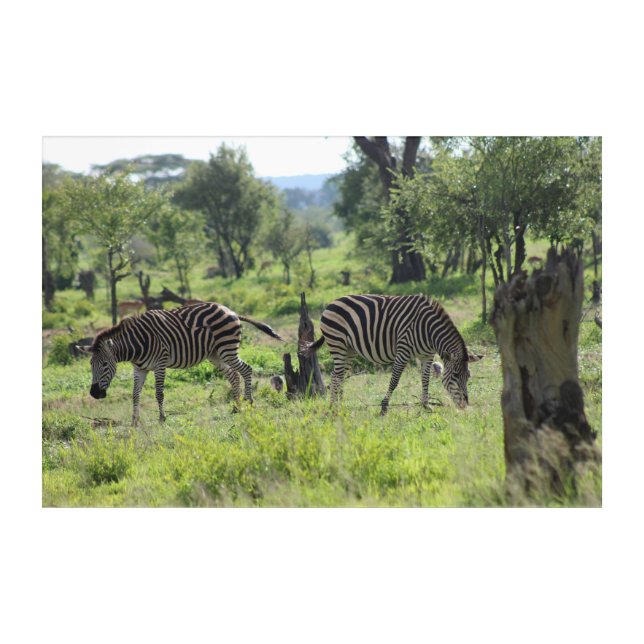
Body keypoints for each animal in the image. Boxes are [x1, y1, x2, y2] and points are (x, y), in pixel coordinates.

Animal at [76, 302, 283, 424]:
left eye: (104, 365)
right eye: (91, 366)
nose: (94, 394)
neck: (136, 345)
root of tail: (231, 311)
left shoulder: (160, 364)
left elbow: (159, 393)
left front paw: (162, 417)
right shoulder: (139, 369)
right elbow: (135, 394)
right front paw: (134, 421)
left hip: (227, 348)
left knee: (246, 370)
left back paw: (249, 403)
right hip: (215, 354)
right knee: (233, 375)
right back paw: (236, 407)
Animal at [305, 294, 481, 414]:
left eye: (468, 376)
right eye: (455, 376)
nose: (464, 405)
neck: (429, 331)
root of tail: (332, 302)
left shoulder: (427, 355)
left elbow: (425, 380)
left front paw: (426, 406)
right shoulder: (403, 350)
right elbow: (394, 380)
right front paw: (384, 407)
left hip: (349, 350)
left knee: (338, 376)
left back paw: (340, 405)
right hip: (338, 344)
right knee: (336, 377)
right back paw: (333, 407)